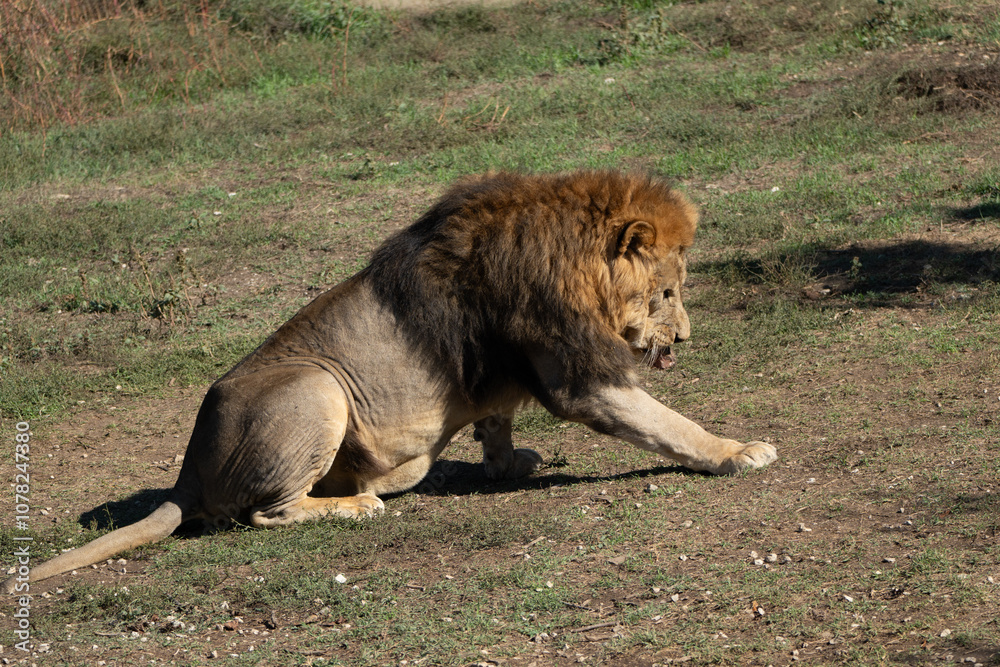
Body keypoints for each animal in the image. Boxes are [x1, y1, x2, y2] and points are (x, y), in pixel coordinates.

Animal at [4, 170, 776, 593]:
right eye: (668, 292)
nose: (684, 340)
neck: (567, 256)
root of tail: (187, 470)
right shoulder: (577, 374)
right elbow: (667, 422)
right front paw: (738, 451)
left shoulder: (511, 377)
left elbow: (499, 422)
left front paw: (507, 463)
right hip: (318, 385)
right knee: (262, 514)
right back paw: (360, 503)